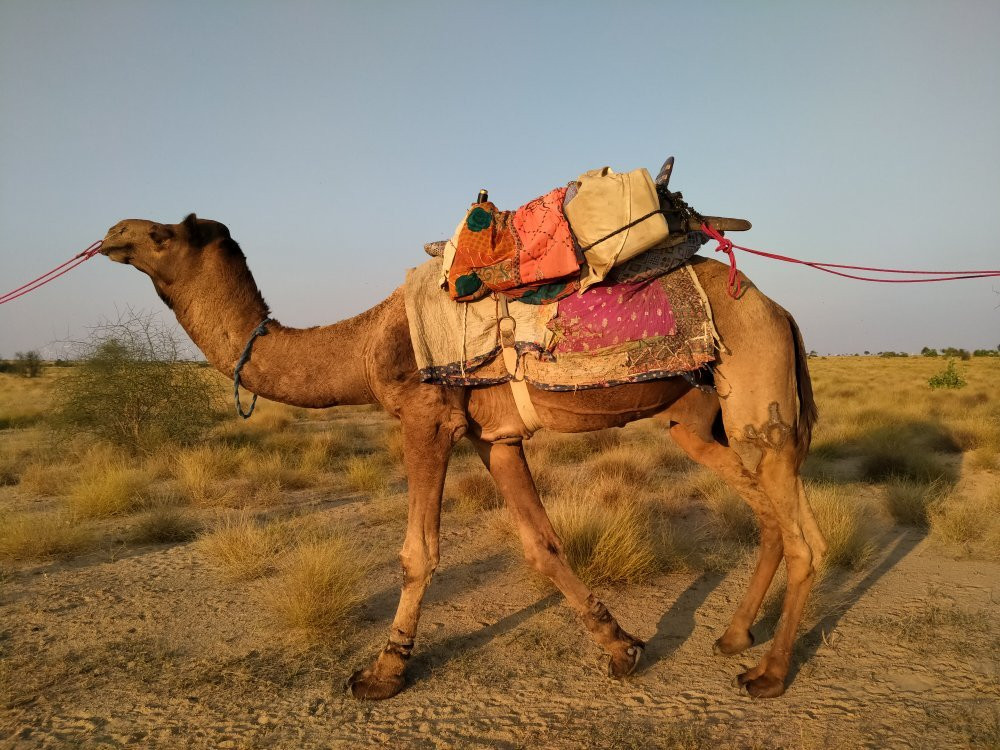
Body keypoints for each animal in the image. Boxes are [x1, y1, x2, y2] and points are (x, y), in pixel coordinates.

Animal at [99, 212, 825, 700]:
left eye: (161, 236)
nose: (112, 234)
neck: (364, 343)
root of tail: (782, 312)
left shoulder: (426, 417)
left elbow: (417, 552)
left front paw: (383, 671)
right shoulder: (492, 437)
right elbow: (541, 544)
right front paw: (621, 647)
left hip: (757, 393)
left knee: (805, 537)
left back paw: (768, 672)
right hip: (701, 419)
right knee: (769, 516)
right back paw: (734, 636)